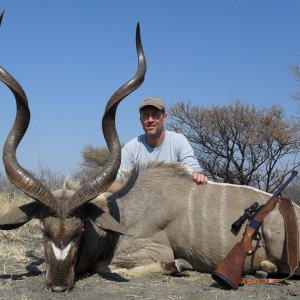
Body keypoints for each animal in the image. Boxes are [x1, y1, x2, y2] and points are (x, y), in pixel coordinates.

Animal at [0, 11, 300, 290]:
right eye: (44, 230)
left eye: (79, 230)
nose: (59, 285)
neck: (118, 216)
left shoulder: (154, 249)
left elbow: (110, 266)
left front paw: (180, 265)